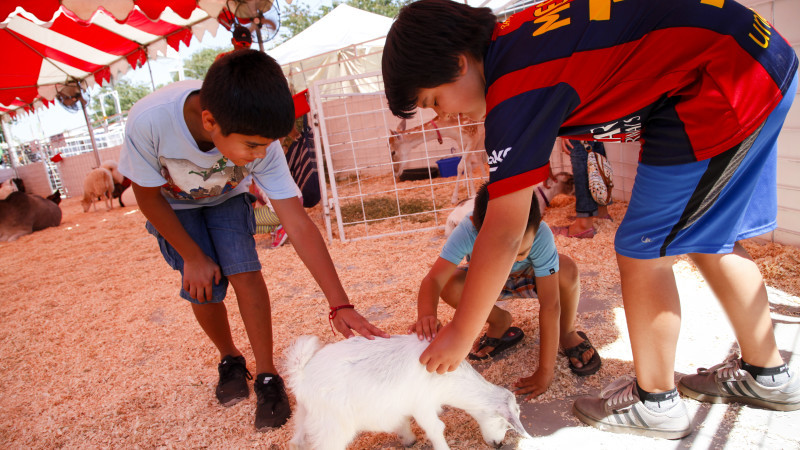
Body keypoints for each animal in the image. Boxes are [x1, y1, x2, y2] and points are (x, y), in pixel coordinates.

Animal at [284, 334, 528, 450]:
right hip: (333, 426)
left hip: (306, 415)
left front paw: (408, 439)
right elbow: (436, 428)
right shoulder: (423, 405)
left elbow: (401, 421)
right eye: (505, 423)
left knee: (297, 442)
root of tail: (302, 375)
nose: (499, 445)